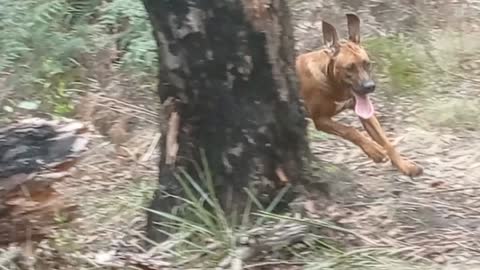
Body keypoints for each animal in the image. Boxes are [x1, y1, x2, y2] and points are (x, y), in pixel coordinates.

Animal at [296, 13, 424, 177]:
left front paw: (405, 166)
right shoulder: (321, 119)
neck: (332, 82)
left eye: (367, 63)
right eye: (349, 68)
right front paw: (374, 151)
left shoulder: (366, 114)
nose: (370, 87)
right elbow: (350, 130)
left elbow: (386, 141)